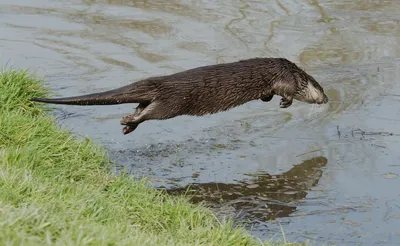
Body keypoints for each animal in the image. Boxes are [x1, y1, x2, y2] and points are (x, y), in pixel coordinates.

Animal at [28, 57, 328, 135]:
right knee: (151, 113)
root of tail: (160, 82)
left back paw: (127, 125)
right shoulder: (285, 76)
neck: (295, 73)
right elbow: (286, 90)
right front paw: (285, 102)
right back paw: (128, 122)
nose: (327, 101)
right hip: (172, 103)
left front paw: (267, 99)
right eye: (322, 90)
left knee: (141, 106)